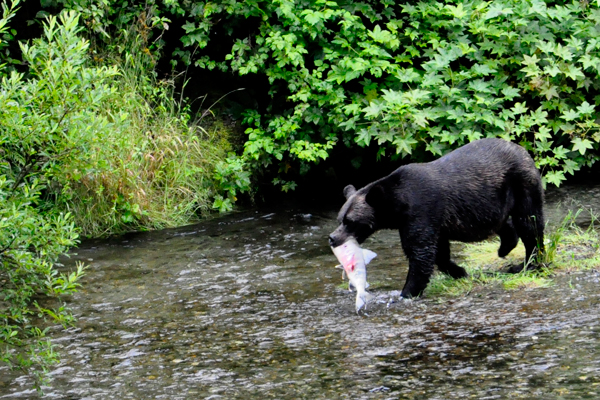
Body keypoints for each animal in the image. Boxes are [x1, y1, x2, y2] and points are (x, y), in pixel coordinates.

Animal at [328, 139, 544, 298]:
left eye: (349, 221)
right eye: (340, 218)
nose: (332, 237)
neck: (398, 205)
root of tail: (522, 149)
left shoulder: (422, 210)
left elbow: (420, 251)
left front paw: (405, 292)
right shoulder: (432, 220)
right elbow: (438, 251)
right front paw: (459, 271)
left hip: (521, 183)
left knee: (529, 223)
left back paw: (530, 262)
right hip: (494, 201)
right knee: (505, 222)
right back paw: (505, 246)